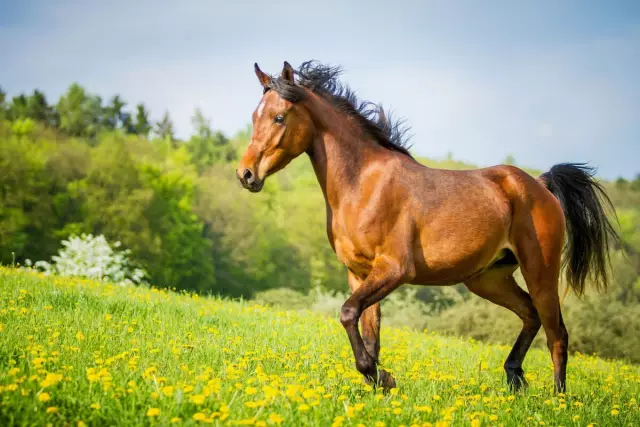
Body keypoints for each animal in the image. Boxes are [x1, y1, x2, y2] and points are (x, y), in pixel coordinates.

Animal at [235, 60, 620, 394]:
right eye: (254, 116)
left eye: (279, 117)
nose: (246, 174)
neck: (363, 184)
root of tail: (539, 186)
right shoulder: (360, 273)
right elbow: (367, 331)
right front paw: (379, 382)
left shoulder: (393, 270)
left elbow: (347, 314)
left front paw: (381, 377)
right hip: (488, 278)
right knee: (530, 315)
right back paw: (515, 379)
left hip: (540, 271)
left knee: (557, 333)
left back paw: (558, 398)